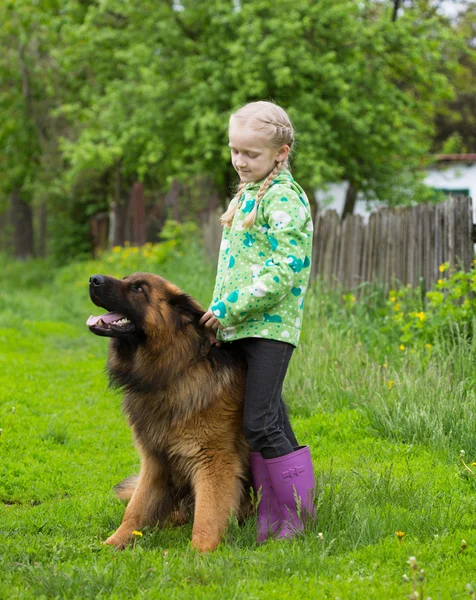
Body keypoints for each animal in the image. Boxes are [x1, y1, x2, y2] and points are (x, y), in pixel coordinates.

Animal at [86, 272, 249, 552]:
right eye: (126, 279)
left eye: (138, 288)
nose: (93, 279)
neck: (173, 371)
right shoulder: (154, 460)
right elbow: (135, 508)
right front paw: (113, 542)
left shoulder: (214, 461)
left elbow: (207, 515)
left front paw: (199, 553)